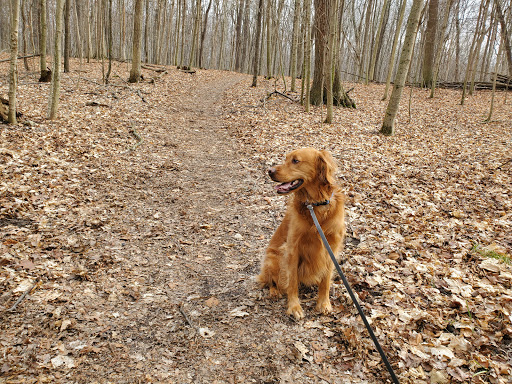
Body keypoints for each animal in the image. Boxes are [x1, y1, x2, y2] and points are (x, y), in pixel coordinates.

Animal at [258, 148, 346, 320]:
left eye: (295, 161)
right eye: (286, 158)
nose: (269, 171)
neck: (316, 206)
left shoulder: (331, 247)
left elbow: (326, 281)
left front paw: (324, 303)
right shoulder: (293, 248)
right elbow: (292, 281)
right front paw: (294, 307)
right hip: (273, 258)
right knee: (270, 281)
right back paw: (274, 292)